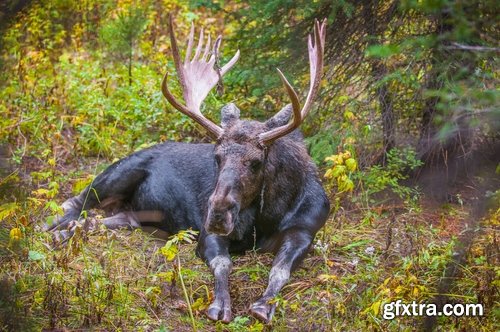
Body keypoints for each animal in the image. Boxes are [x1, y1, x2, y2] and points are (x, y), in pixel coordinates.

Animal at [46, 16, 328, 322]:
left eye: (256, 162)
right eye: (216, 156)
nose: (217, 212)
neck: (269, 216)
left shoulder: (305, 230)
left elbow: (280, 269)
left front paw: (264, 305)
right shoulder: (207, 232)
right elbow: (223, 263)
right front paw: (220, 305)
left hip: (134, 215)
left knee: (103, 219)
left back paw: (72, 231)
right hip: (118, 173)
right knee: (75, 201)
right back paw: (55, 229)